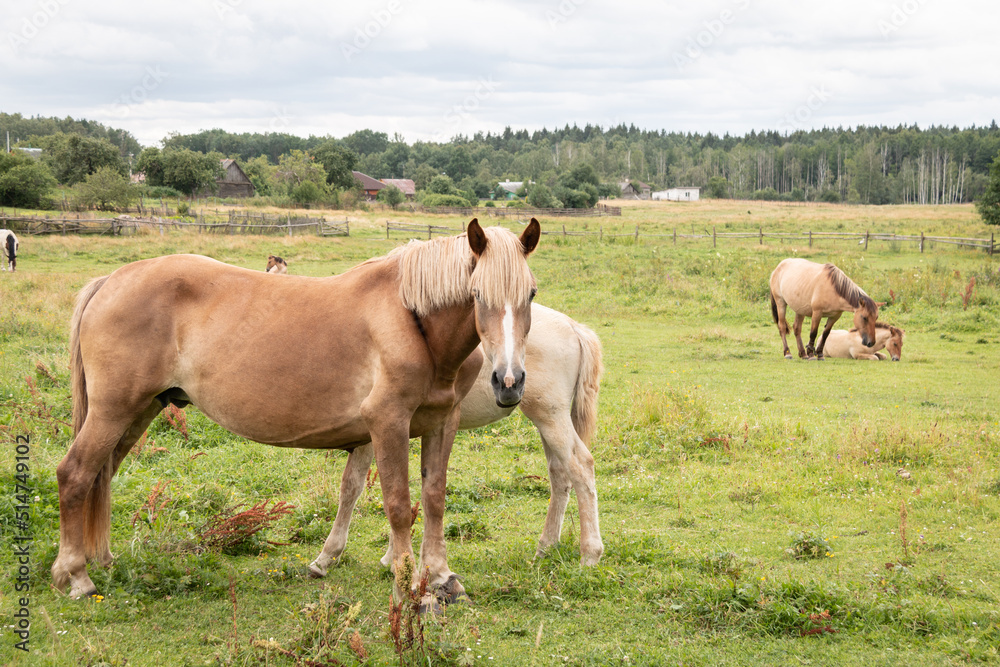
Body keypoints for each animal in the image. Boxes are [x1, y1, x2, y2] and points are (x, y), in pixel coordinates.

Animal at [52, 219, 540, 604]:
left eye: (531, 293)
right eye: (476, 293)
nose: (509, 382)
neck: (411, 320)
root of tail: (110, 280)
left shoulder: (442, 422)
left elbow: (434, 498)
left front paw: (441, 577)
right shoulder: (388, 423)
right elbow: (400, 505)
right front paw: (408, 588)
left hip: (138, 412)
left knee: (101, 475)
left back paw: (101, 561)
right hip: (113, 411)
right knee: (75, 474)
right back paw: (76, 576)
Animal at [310, 304, 608, 580]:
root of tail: (573, 327)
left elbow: (353, 487)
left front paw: (327, 557)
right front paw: (393, 558)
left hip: (550, 416)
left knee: (582, 467)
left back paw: (589, 556)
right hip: (547, 420)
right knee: (560, 475)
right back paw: (545, 549)